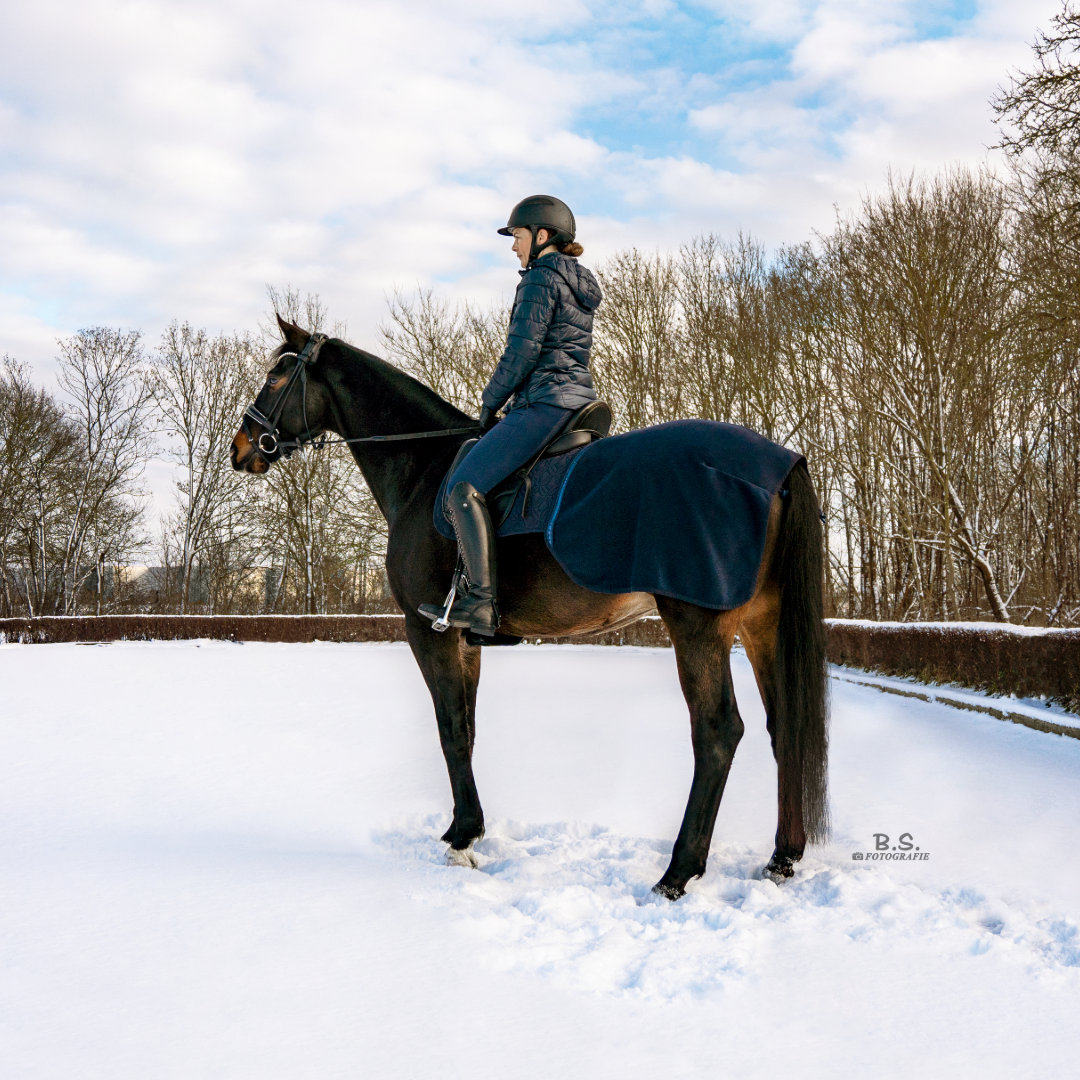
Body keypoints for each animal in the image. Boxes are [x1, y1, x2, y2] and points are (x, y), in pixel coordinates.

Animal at [231, 317, 829, 899]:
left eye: (277, 376)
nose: (242, 447)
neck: (423, 467)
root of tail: (780, 464)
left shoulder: (427, 630)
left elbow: (450, 727)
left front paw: (463, 837)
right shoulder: (464, 637)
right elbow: (468, 727)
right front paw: (464, 828)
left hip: (698, 625)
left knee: (717, 732)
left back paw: (678, 873)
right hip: (762, 625)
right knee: (784, 727)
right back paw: (782, 858)